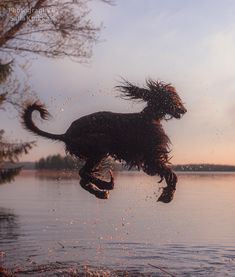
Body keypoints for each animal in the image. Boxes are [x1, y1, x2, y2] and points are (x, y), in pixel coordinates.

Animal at [22, 78, 187, 202]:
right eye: (173, 96)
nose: (184, 110)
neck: (149, 116)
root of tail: (66, 134)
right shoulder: (152, 157)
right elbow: (171, 174)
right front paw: (168, 195)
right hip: (99, 145)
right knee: (83, 173)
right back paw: (105, 184)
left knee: (83, 178)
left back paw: (101, 190)